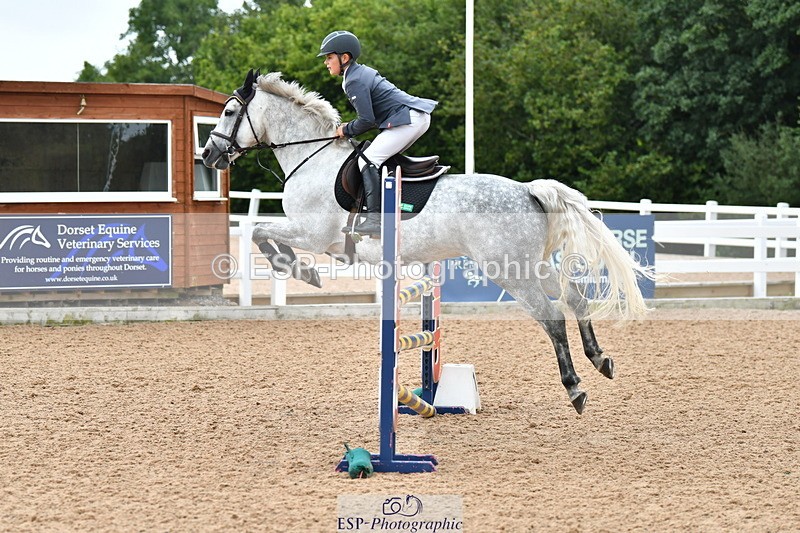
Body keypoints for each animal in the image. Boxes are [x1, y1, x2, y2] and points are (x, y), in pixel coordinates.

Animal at [202, 69, 654, 414]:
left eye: (228, 111)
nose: (208, 155)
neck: (311, 158)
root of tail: (528, 190)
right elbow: (260, 232)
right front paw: (301, 271)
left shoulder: (312, 233)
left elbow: (260, 232)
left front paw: (301, 271)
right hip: (527, 265)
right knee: (575, 298)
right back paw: (601, 360)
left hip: (507, 270)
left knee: (552, 316)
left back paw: (575, 386)